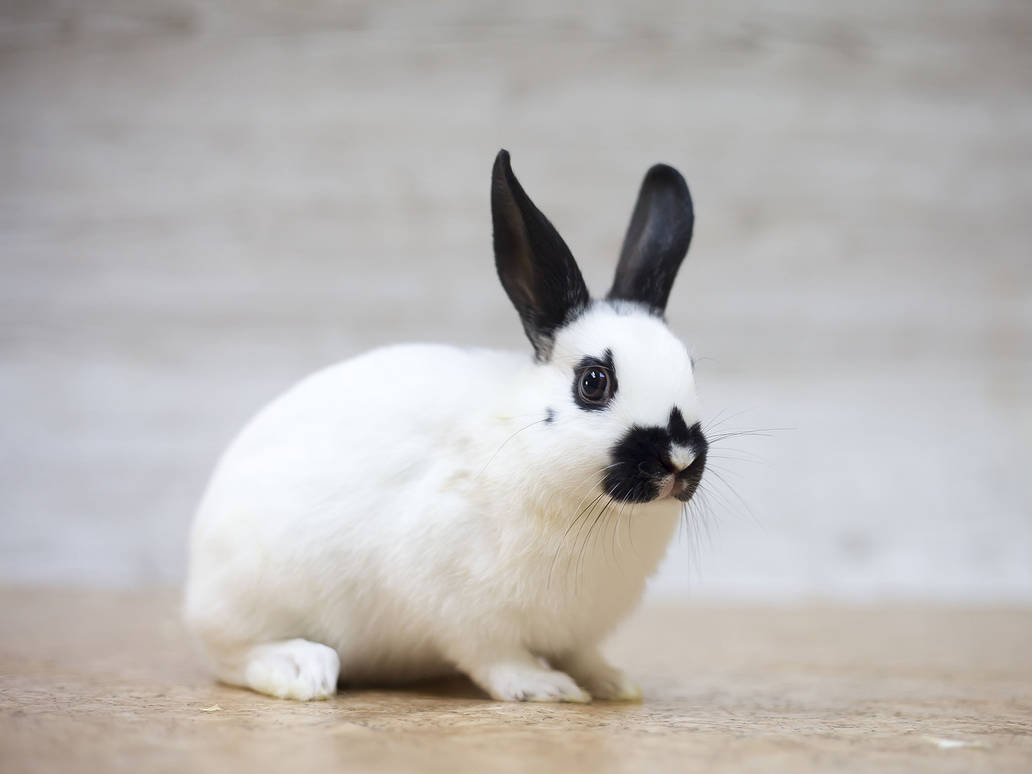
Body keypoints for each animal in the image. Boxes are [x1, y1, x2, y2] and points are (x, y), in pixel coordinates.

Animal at [183, 149, 708, 703]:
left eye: (691, 367)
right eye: (594, 382)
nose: (678, 459)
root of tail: (196, 578)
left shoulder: (576, 630)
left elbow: (581, 654)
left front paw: (615, 684)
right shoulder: (460, 607)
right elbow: (495, 657)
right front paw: (545, 687)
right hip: (251, 598)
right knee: (232, 657)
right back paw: (301, 669)